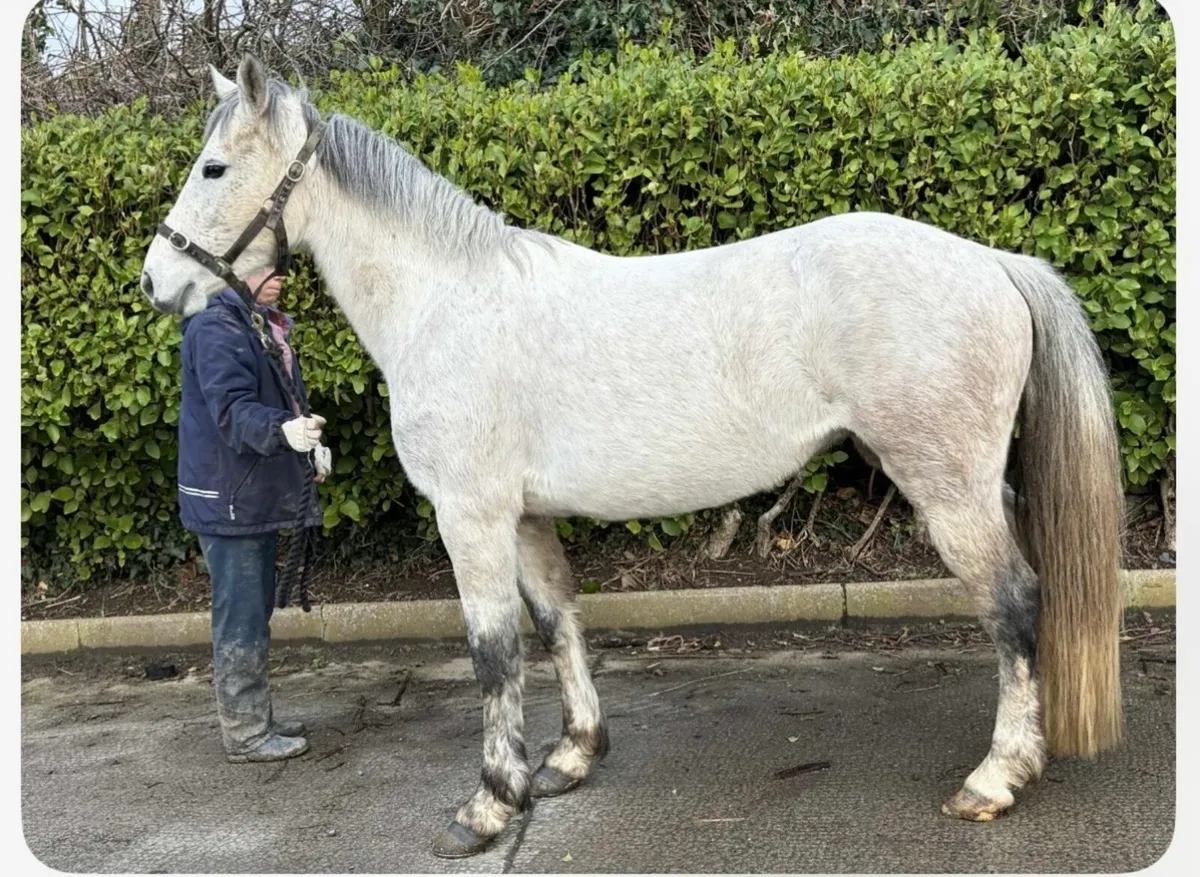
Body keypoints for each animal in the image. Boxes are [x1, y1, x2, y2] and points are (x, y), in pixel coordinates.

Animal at [140, 55, 1124, 859]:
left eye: (214, 168)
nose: (158, 281)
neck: (448, 302)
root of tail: (992, 262)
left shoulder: (471, 514)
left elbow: (492, 652)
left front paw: (486, 807)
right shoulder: (523, 515)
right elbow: (556, 621)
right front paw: (570, 757)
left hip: (951, 490)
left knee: (1014, 602)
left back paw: (995, 776)